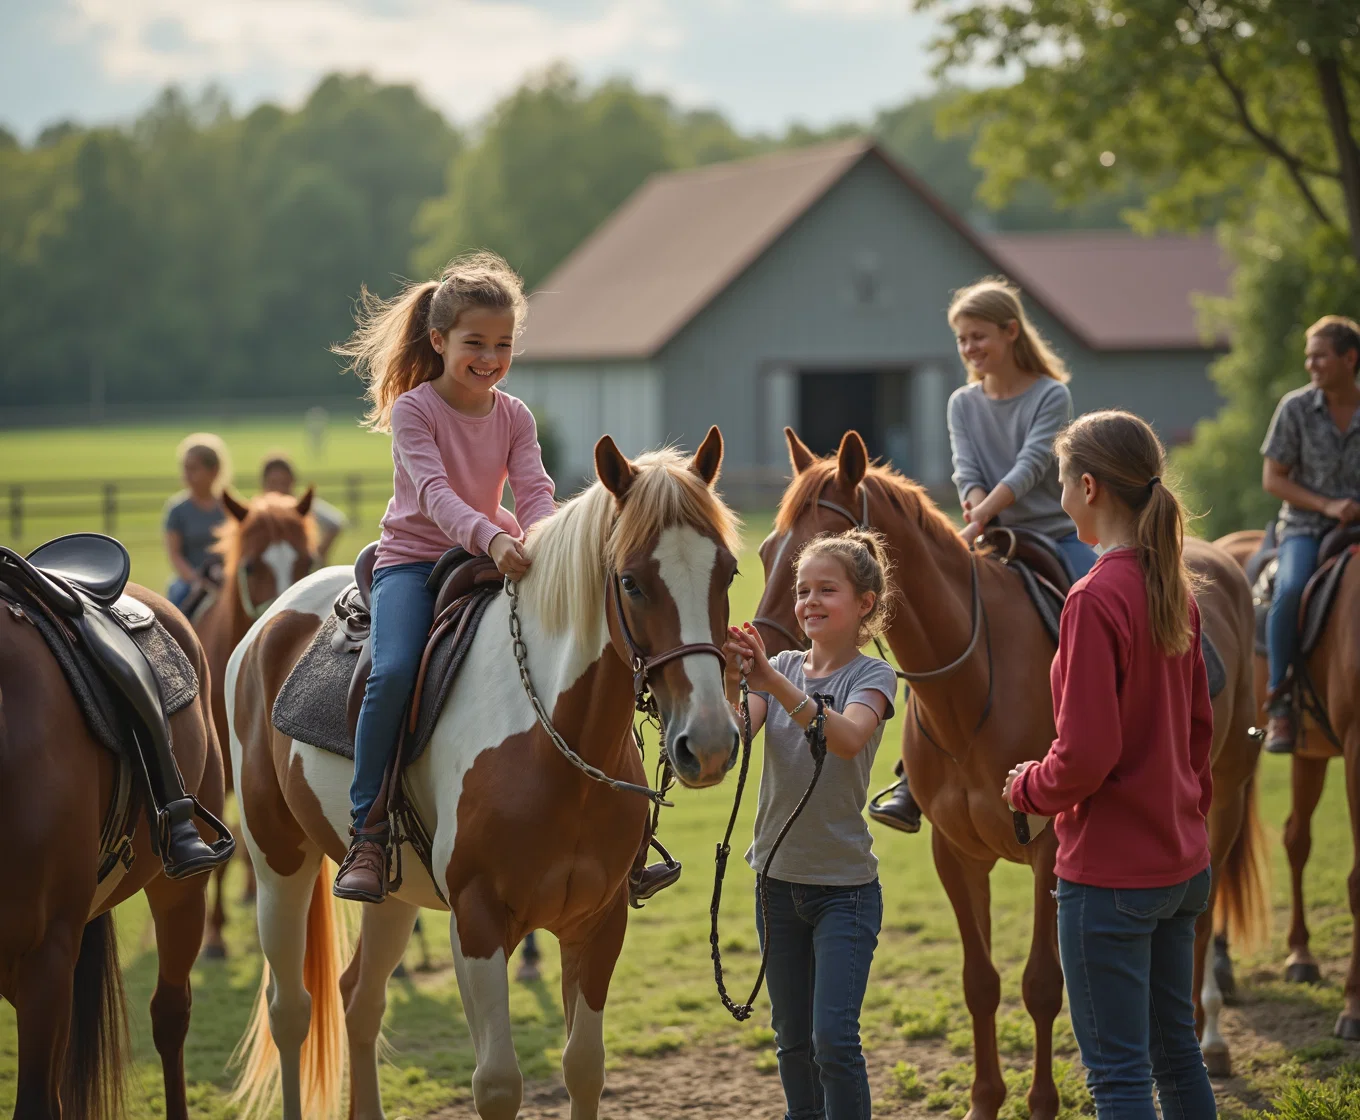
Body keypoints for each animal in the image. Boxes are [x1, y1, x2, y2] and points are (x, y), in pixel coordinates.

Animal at [224, 432, 745, 1120]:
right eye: (631, 581)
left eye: (728, 572)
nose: (708, 744)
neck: (555, 744)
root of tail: (270, 621)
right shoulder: (476, 923)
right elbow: (498, 1083)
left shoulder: (600, 922)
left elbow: (584, 1066)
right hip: (277, 862)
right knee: (292, 1012)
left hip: (393, 893)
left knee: (360, 999)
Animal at [756, 426, 1262, 1109]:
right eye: (765, 551)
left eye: (819, 571)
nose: (763, 649)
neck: (972, 688)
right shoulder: (956, 854)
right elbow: (982, 982)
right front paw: (984, 1101)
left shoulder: (1053, 852)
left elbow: (1043, 983)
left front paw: (1042, 1104)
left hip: (1225, 801)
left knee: (1202, 925)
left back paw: (1210, 1036)